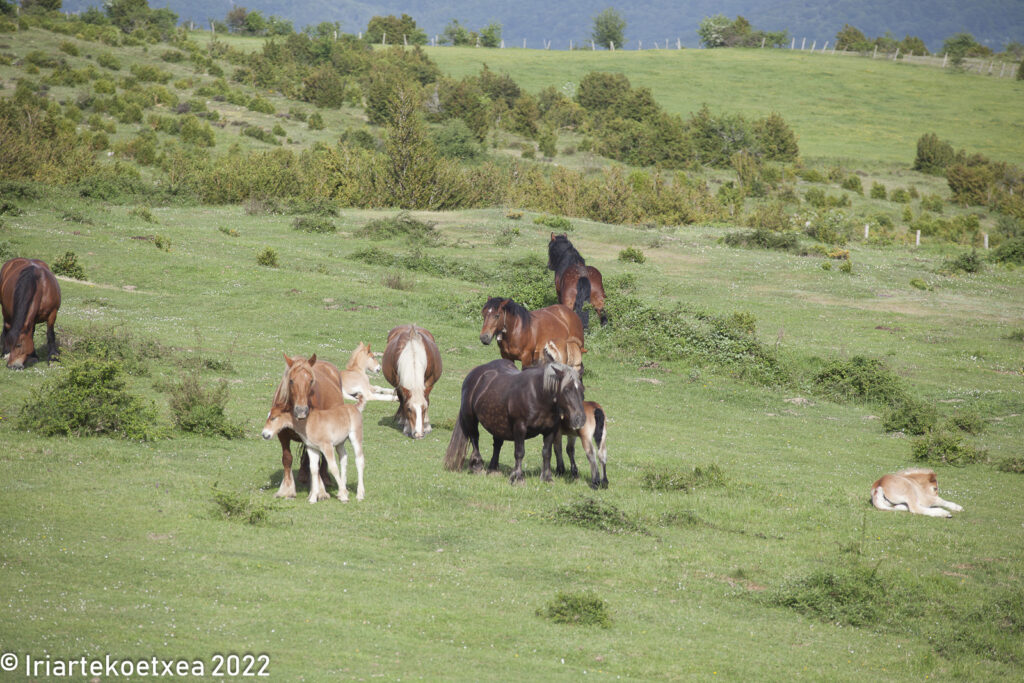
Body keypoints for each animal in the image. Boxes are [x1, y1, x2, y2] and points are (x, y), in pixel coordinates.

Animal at [268, 356, 348, 499]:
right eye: (291, 380)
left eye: (311, 381)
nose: (301, 411)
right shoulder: (282, 435)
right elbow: (287, 459)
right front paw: (286, 490)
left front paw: (319, 490)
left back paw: (325, 478)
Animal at [442, 358, 585, 485]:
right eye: (566, 390)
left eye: (582, 390)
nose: (580, 419)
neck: (538, 395)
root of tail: (474, 374)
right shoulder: (520, 427)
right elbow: (519, 452)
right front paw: (517, 478)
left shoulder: (550, 430)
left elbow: (547, 453)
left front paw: (547, 478)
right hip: (470, 418)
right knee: (474, 438)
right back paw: (477, 466)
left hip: (497, 422)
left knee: (497, 444)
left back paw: (493, 470)